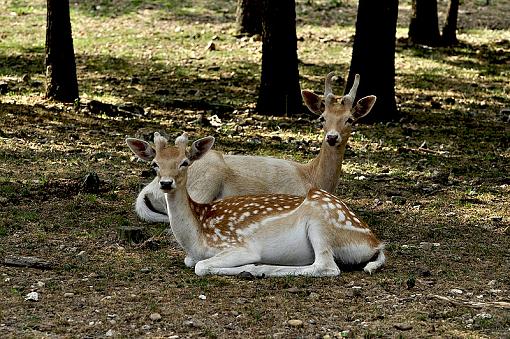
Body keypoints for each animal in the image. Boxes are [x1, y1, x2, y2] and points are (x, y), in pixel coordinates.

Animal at [125, 131, 384, 278]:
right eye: (155, 164)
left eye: (185, 162)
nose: (166, 183)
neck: (196, 236)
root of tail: (375, 243)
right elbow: (192, 262)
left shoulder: (238, 245)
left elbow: (200, 266)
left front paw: (247, 266)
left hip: (320, 222)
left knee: (326, 266)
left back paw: (258, 269)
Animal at [130, 73, 378, 224]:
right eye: (322, 117)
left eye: (350, 119)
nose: (332, 137)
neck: (312, 176)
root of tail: (147, 191)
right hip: (206, 180)